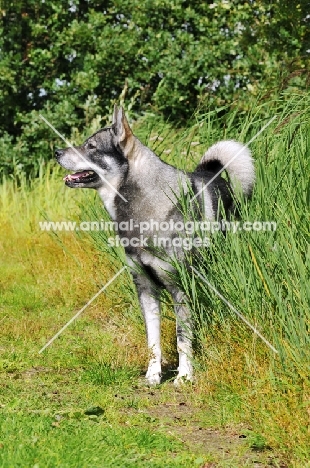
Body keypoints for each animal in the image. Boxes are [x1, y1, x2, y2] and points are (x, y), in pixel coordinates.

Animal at [55, 107, 254, 388]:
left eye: (91, 146)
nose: (56, 152)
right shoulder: (146, 289)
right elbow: (153, 340)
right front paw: (153, 375)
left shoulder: (180, 288)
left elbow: (182, 339)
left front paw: (184, 376)